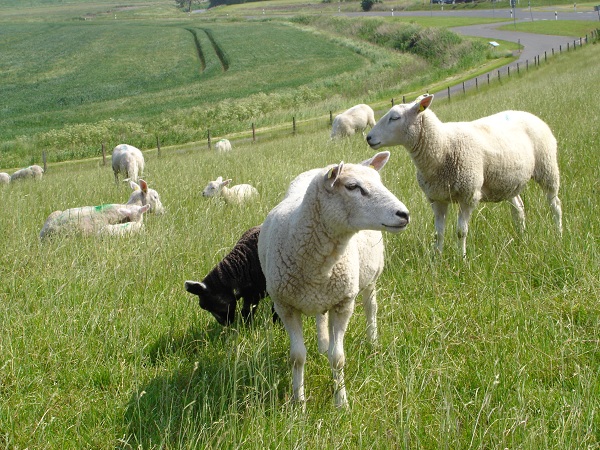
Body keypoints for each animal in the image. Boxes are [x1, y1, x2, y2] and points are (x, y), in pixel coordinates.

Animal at [258, 151, 410, 408]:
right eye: (352, 186)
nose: (404, 214)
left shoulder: (343, 303)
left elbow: (338, 358)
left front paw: (341, 402)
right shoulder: (285, 306)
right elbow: (297, 357)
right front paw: (299, 403)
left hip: (368, 279)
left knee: (371, 308)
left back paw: (372, 340)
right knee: (321, 317)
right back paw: (322, 344)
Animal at [366, 93, 562, 257]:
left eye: (395, 117)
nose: (368, 138)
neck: (443, 146)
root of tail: (529, 115)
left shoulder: (468, 195)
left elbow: (461, 232)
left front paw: (462, 259)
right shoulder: (437, 199)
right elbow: (438, 234)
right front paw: (437, 260)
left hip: (547, 166)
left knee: (555, 204)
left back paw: (558, 234)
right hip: (507, 182)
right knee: (519, 209)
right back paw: (522, 238)